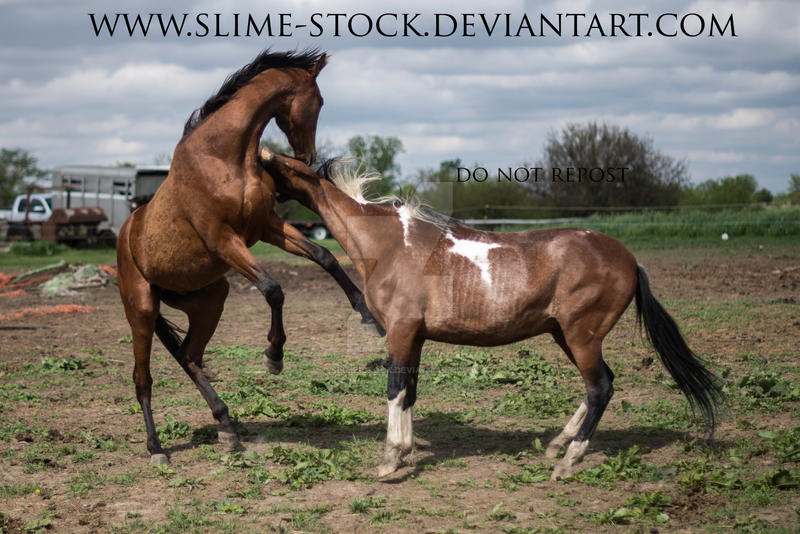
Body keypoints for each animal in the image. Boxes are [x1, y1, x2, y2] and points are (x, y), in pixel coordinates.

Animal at [117, 50, 380, 468]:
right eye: (320, 101)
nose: (308, 157)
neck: (224, 158)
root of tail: (125, 236)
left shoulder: (266, 227)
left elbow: (326, 257)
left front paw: (368, 316)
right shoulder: (224, 240)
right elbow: (273, 289)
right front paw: (274, 356)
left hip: (210, 299)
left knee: (190, 356)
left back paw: (226, 426)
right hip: (141, 310)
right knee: (143, 378)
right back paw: (157, 448)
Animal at [260, 150, 724, 482]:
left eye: (269, 163)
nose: (260, 199)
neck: (389, 243)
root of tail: (630, 260)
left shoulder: (400, 332)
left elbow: (394, 390)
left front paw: (390, 460)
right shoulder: (415, 337)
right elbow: (409, 391)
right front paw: (405, 453)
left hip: (582, 336)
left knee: (601, 389)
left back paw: (566, 463)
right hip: (566, 335)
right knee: (602, 384)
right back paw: (557, 445)